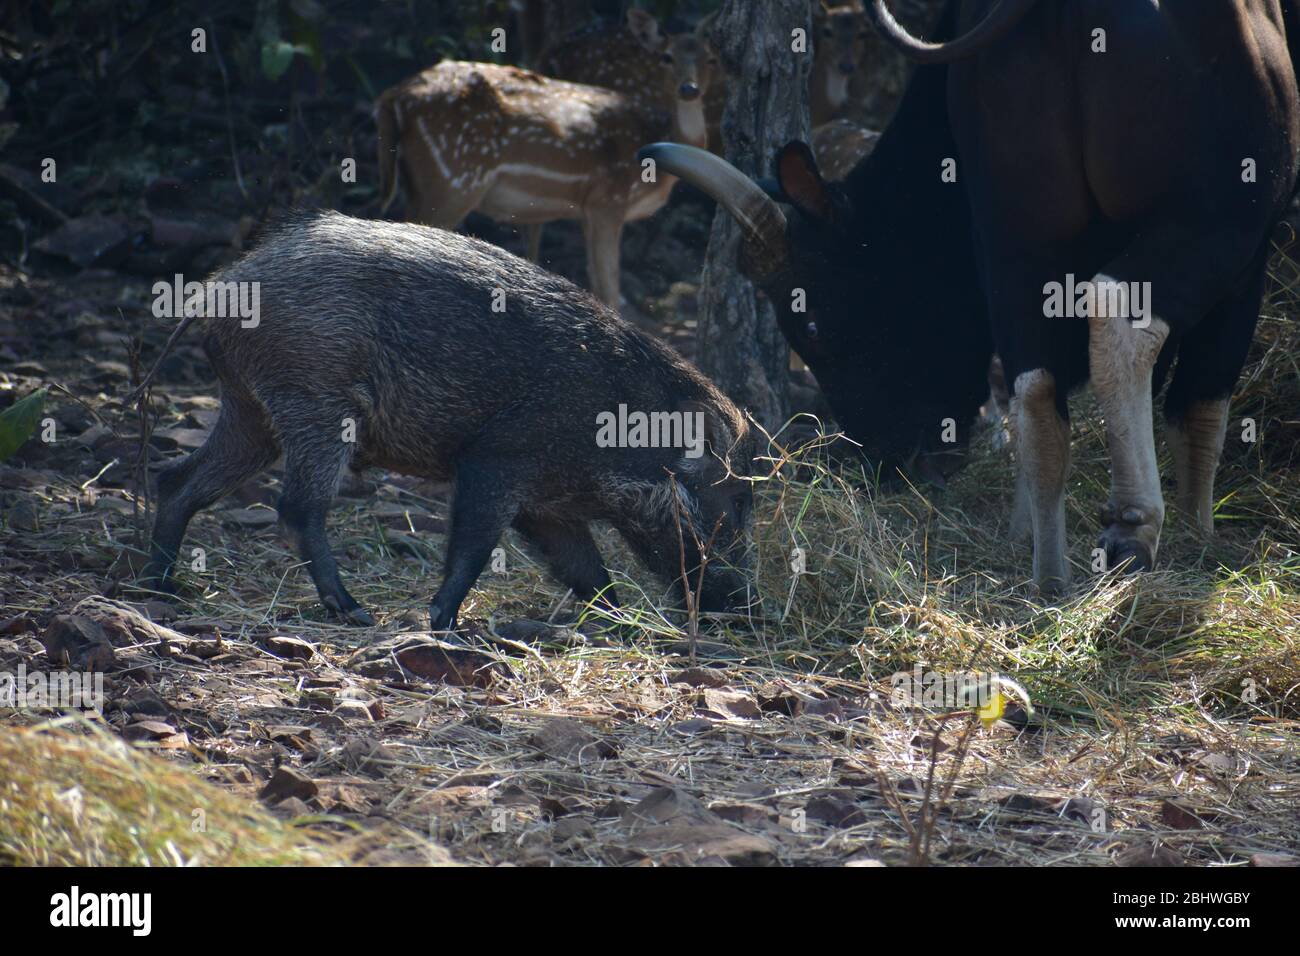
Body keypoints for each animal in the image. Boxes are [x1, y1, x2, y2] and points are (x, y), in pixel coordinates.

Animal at [371, 12, 717, 310]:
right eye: (666, 57)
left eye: (710, 59)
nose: (689, 89)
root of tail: (394, 95)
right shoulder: (608, 200)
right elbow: (610, 289)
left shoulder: (587, 211)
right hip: (452, 179)